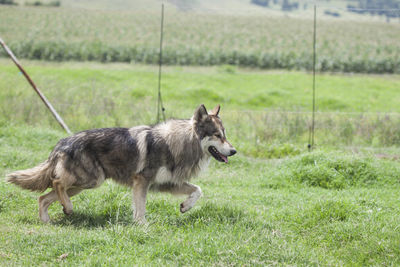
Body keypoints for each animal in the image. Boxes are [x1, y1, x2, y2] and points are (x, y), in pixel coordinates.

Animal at [6, 104, 236, 224]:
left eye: (225, 135)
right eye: (217, 136)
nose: (234, 151)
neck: (177, 143)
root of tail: (61, 143)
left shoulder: (166, 184)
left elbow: (198, 190)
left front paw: (185, 207)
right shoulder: (142, 181)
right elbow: (141, 207)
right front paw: (142, 225)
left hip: (82, 186)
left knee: (43, 197)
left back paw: (49, 220)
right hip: (91, 180)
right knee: (56, 183)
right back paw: (68, 209)